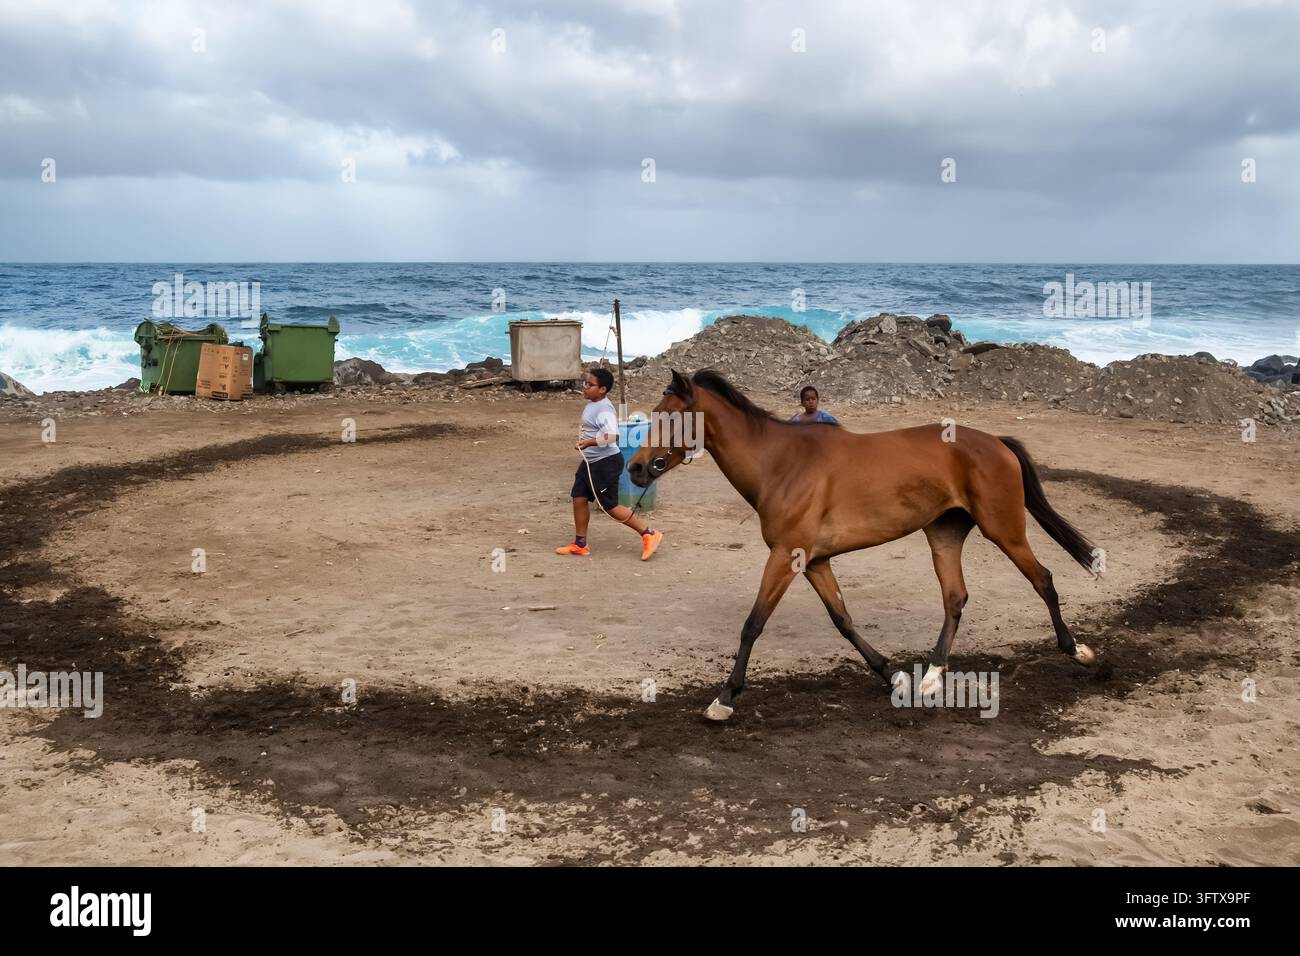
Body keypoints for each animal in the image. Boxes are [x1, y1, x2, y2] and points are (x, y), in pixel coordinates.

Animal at [627, 369, 1100, 722]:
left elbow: (753, 623)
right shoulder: (815, 561)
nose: (635, 468)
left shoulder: (786, 556)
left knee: (1043, 579)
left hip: (1004, 529)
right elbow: (844, 620)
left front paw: (724, 698)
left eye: (669, 416)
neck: (780, 463)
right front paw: (894, 676)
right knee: (955, 598)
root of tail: (997, 442)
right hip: (944, 534)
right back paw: (932, 676)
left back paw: (1076, 650)